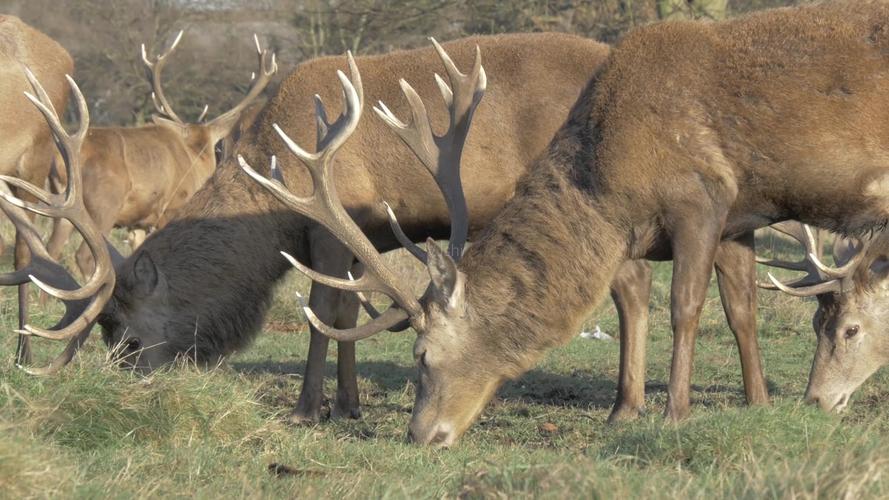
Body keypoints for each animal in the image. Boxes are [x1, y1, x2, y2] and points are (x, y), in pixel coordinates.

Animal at [43, 32, 274, 274]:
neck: (195, 156)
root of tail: (59, 160)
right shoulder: (172, 209)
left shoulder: (138, 223)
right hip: (103, 205)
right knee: (85, 256)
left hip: (62, 204)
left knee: (51, 251)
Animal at [236, 0, 889, 446]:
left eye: (421, 354)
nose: (420, 435)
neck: (610, 182)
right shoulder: (739, 217)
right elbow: (741, 309)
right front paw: (758, 405)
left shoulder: (700, 197)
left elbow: (686, 308)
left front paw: (673, 414)